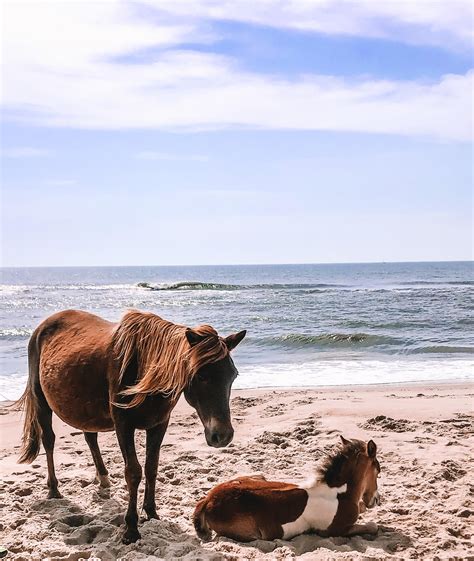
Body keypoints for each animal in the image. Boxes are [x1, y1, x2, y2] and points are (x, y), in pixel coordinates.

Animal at [16, 308, 246, 544]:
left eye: (233, 375)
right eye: (201, 375)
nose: (222, 435)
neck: (144, 369)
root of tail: (43, 326)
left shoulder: (159, 424)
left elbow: (152, 467)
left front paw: (152, 513)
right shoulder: (123, 425)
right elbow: (133, 472)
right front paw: (131, 528)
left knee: (90, 438)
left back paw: (103, 478)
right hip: (42, 402)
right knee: (49, 441)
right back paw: (53, 489)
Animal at [193, 436, 382, 540]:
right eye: (378, 470)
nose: (376, 500)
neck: (338, 494)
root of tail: (209, 499)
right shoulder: (334, 531)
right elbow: (373, 526)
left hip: (257, 476)